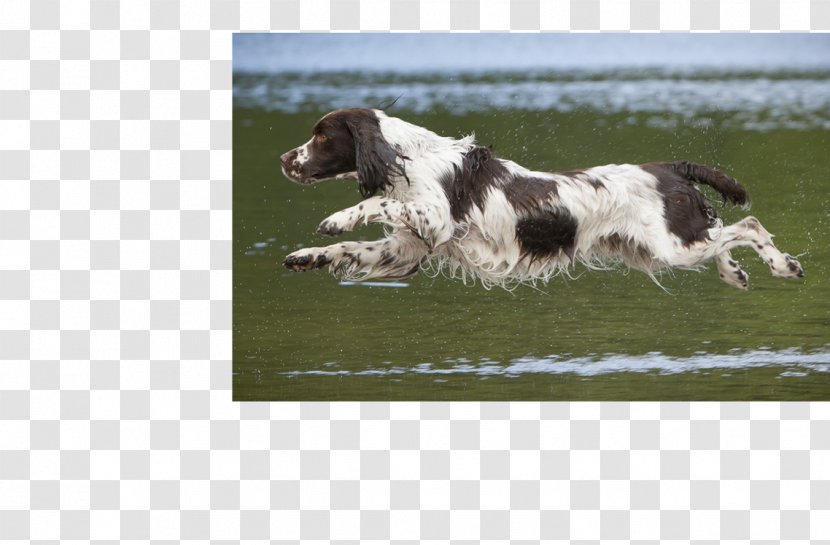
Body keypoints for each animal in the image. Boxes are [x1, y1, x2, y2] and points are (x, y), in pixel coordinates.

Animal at [282, 108, 808, 292]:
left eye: (321, 136)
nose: (285, 158)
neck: (412, 158)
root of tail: (671, 168)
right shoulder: (406, 249)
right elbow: (350, 251)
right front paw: (306, 255)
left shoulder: (434, 219)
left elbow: (377, 206)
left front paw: (337, 217)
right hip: (662, 250)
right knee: (724, 238)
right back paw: (734, 273)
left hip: (671, 246)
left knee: (750, 225)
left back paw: (784, 266)